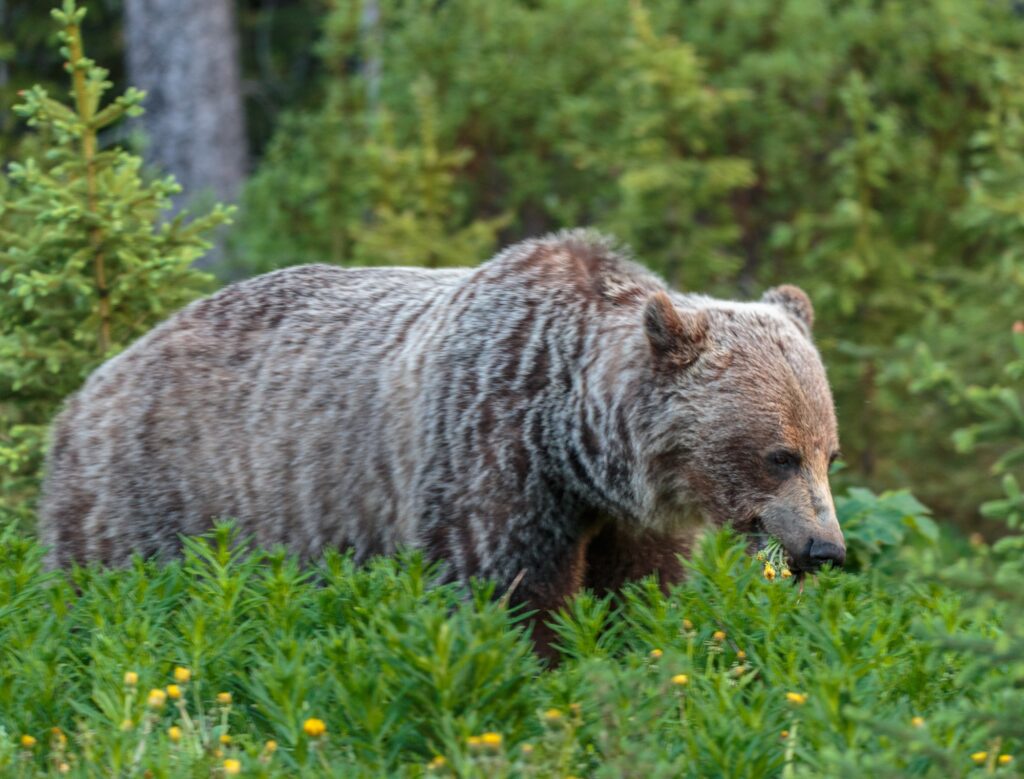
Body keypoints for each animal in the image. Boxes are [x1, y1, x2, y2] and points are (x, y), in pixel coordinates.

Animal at [38, 230, 845, 655]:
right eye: (778, 453)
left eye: (827, 451)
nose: (825, 548)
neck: (573, 440)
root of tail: (82, 393)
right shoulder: (487, 449)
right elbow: (505, 593)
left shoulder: (625, 519)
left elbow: (636, 592)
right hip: (152, 495)